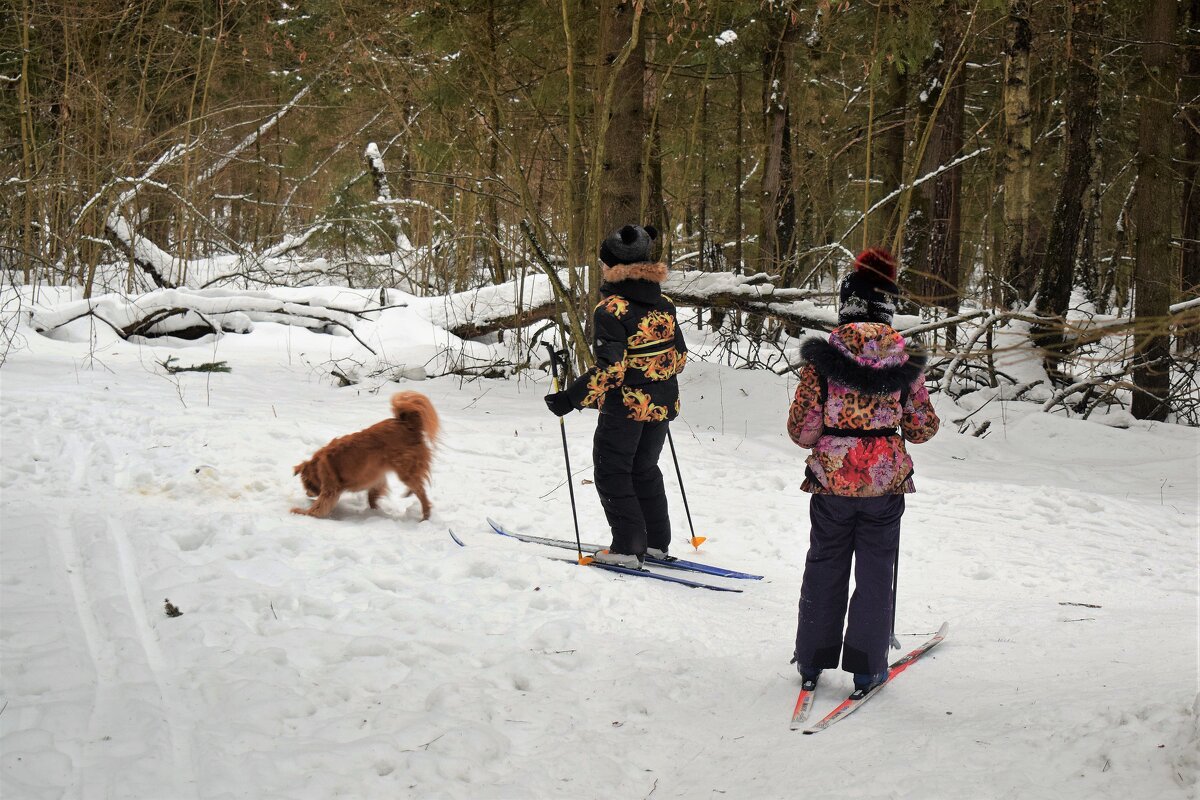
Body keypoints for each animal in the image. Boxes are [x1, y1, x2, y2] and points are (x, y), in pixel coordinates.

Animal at [291, 393, 439, 520]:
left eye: (307, 484)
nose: (307, 494)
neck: (317, 466)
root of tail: (408, 424)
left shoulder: (330, 490)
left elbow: (318, 508)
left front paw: (300, 511)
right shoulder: (376, 476)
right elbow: (372, 496)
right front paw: (375, 511)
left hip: (406, 471)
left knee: (421, 492)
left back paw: (425, 516)